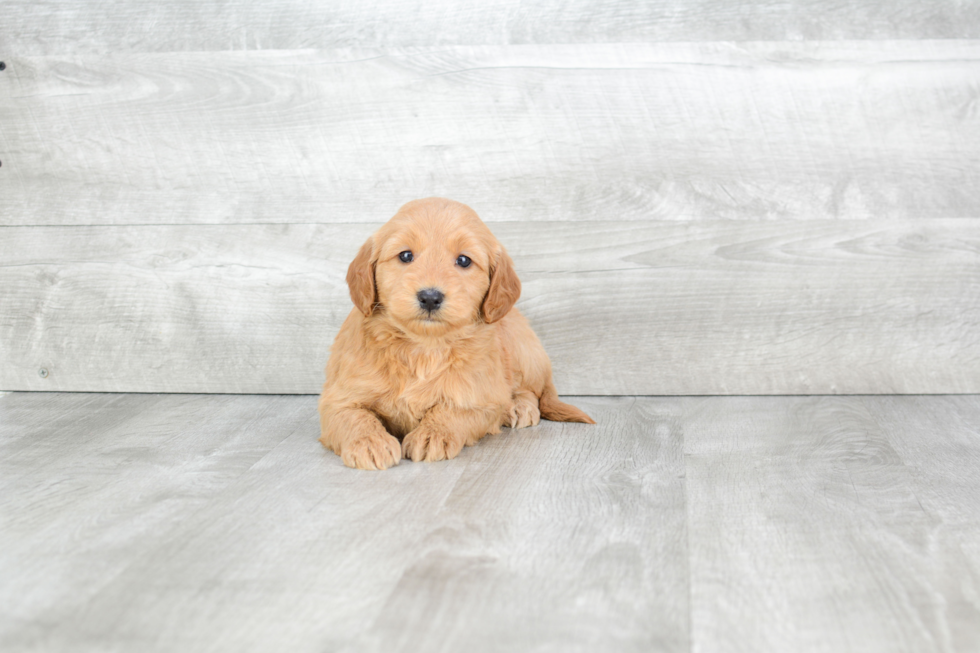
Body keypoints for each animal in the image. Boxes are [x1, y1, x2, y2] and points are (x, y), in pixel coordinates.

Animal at [318, 195, 592, 468]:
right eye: (405, 255)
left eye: (463, 260)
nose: (430, 297)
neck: (423, 348)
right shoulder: (338, 396)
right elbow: (352, 415)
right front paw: (369, 442)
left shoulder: (481, 394)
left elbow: (456, 410)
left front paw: (433, 434)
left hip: (523, 347)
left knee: (531, 391)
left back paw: (517, 407)